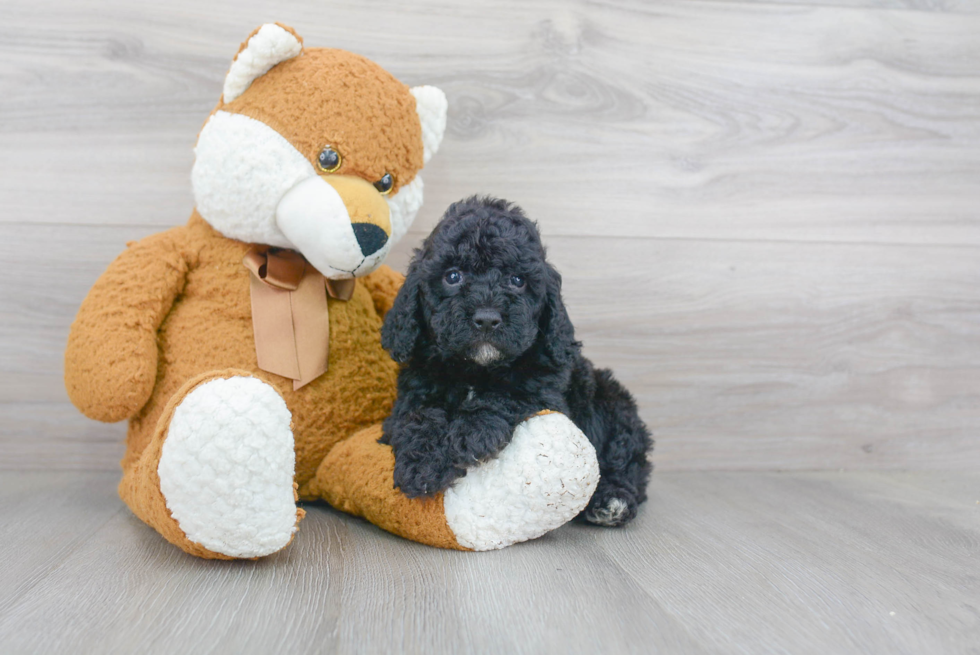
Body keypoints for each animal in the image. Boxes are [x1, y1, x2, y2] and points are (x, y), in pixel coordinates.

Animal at [380, 196, 652, 528]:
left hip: (613, 407)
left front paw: (471, 431)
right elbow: (419, 417)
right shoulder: (412, 395)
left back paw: (612, 500)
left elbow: (508, 396)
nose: (487, 318)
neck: (475, 369)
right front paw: (423, 463)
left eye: (518, 280)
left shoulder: (545, 392)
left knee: (626, 464)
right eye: (453, 276)